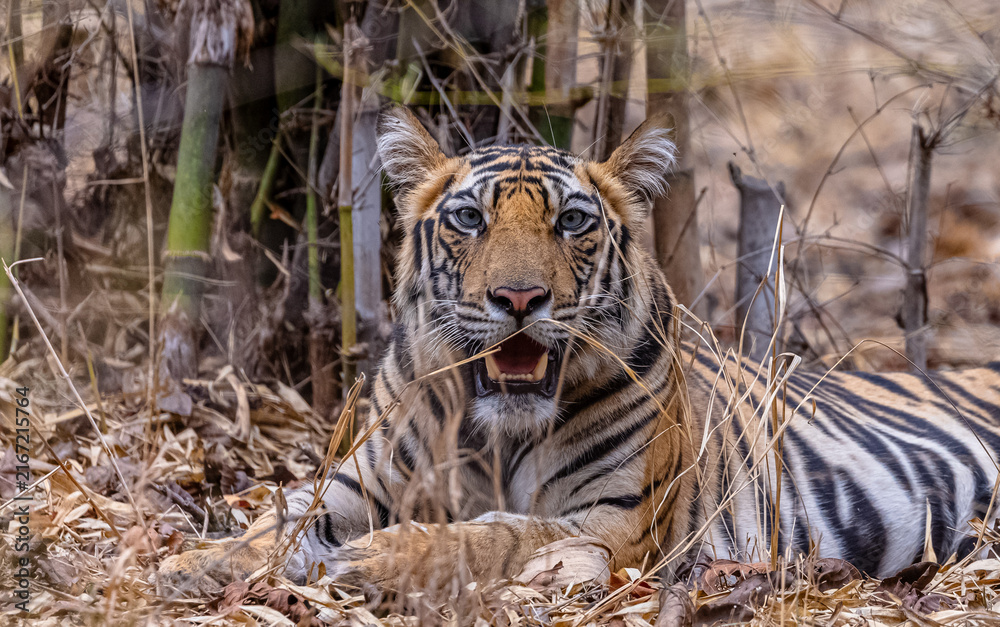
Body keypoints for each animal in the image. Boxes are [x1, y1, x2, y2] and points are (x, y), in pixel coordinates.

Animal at [158, 105, 1000, 597]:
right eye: (468, 217)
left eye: (570, 221)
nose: (520, 298)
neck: (492, 430)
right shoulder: (361, 482)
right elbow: (282, 516)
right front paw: (191, 563)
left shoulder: (611, 518)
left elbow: (495, 532)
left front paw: (379, 560)